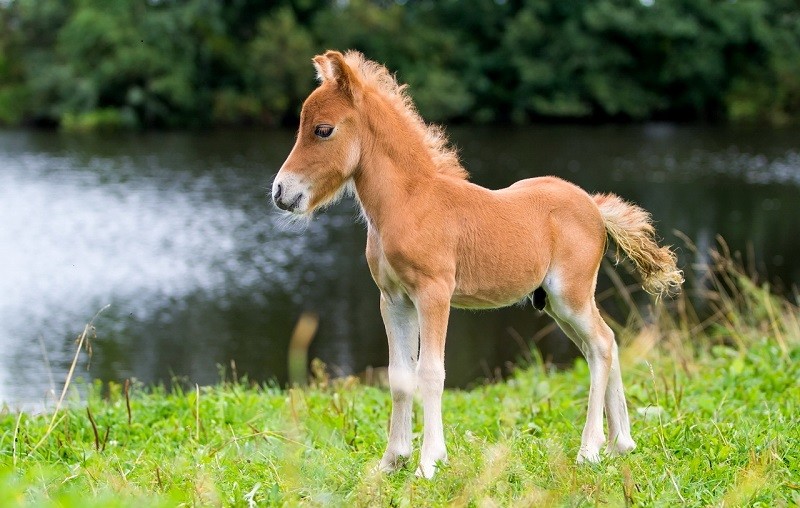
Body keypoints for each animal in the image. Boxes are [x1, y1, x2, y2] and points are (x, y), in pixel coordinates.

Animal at [274, 49, 680, 478]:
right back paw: (621, 443)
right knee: (605, 344)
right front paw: (391, 462)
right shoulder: (393, 299)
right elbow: (400, 376)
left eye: (323, 130)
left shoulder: (434, 294)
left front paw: (429, 462)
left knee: (601, 344)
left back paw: (590, 449)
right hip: (556, 304)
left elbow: (430, 372)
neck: (410, 202)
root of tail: (595, 207)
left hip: (570, 295)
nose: (281, 192)